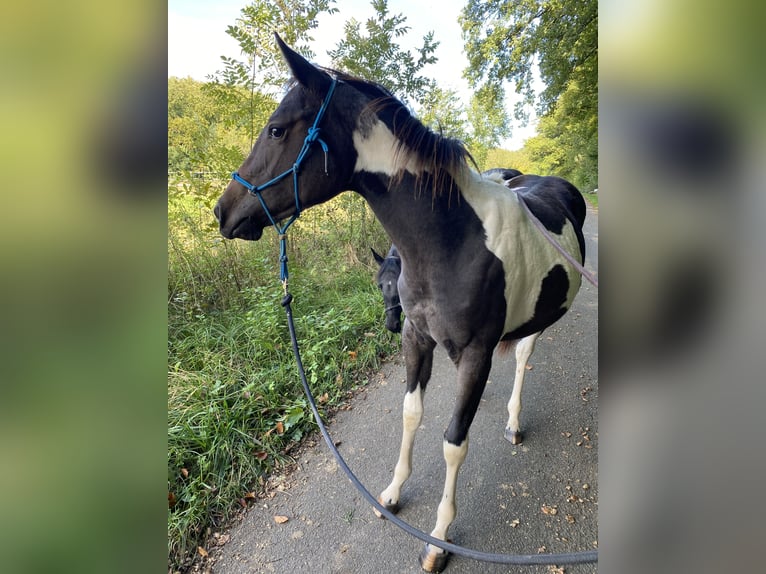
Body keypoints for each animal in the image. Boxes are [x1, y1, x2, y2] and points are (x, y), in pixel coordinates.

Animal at [216, 35, 588, 572]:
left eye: (277, 129)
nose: (223, 212)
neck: (452, 241)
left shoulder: (475, 351)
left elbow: (454, 443)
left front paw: (437, 539)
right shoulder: (416, 337)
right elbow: (413, 413)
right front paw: (391, 492)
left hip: (536, 320)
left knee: (521, 355)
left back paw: (514, 421)